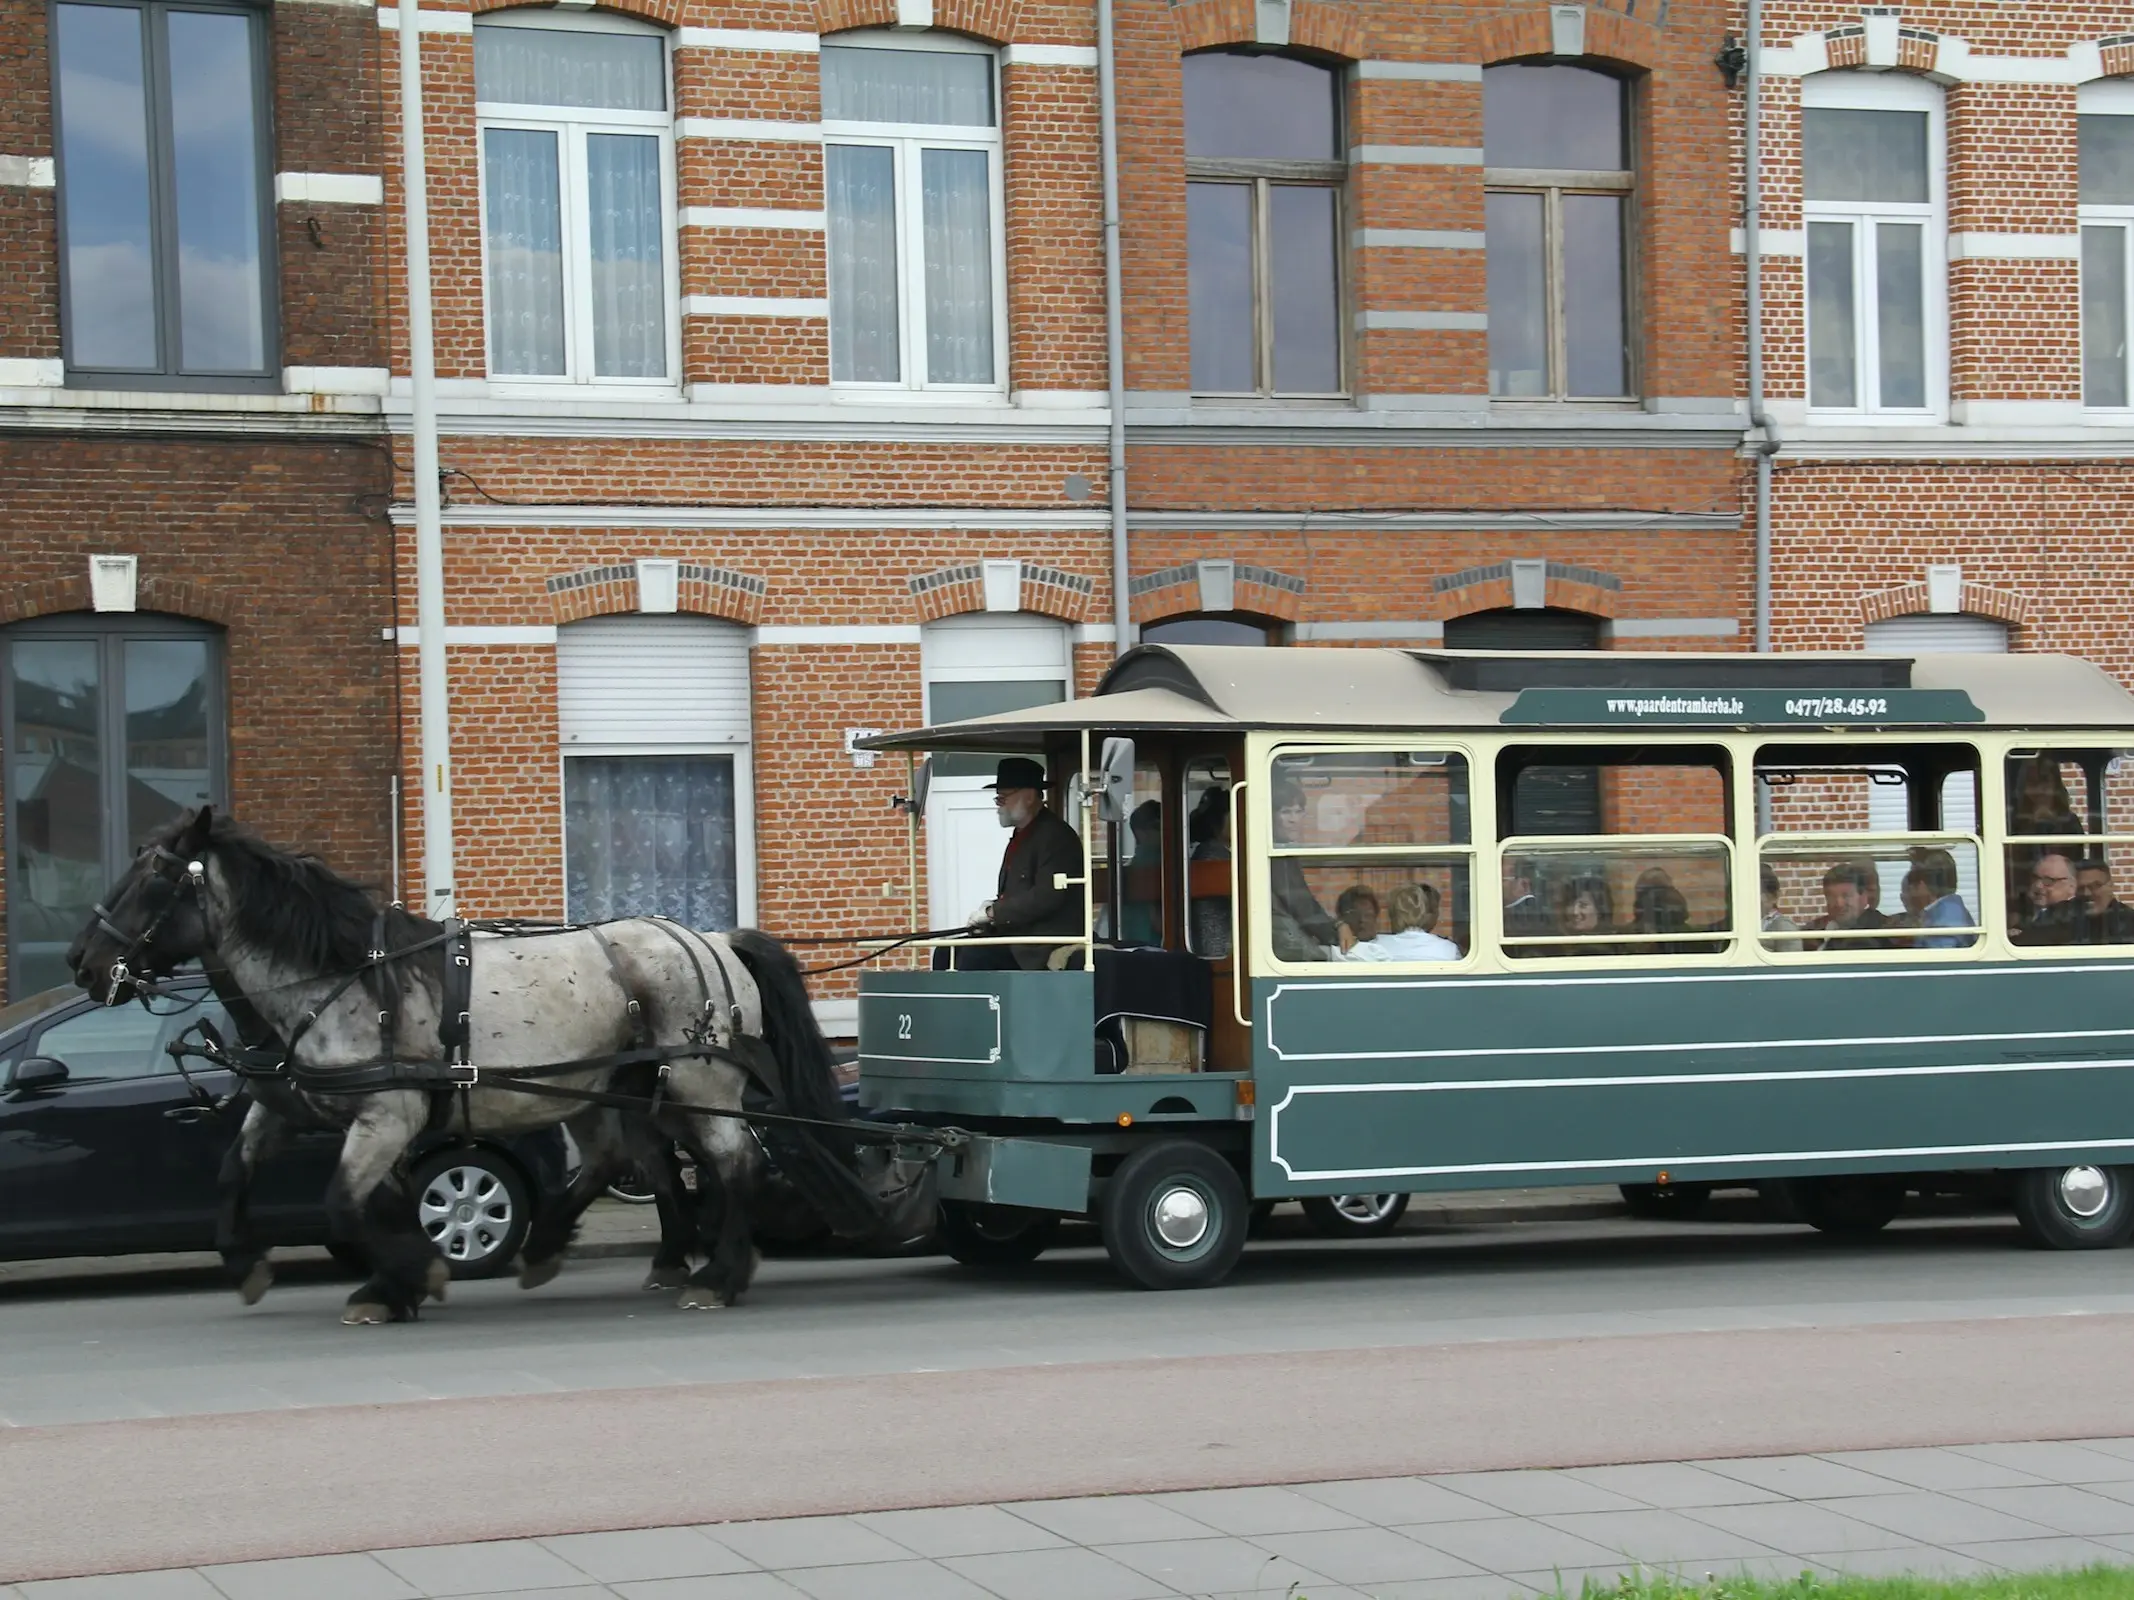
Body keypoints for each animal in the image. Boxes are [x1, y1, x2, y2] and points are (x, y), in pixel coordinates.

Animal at [73, 814, 934, 1331]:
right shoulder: (298, 1107)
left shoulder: (384, 1115)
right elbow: (239, 1172)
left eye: (153, 881)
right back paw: (610, 1252)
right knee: (639, 1163)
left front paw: (405, 1277)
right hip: (617, 1087)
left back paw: (717, 1276)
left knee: (731, 1165)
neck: (341, 979)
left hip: (697, 1082)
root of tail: (716, 938)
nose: (83, 963)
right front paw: (260, 1265)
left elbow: (343, 1203)